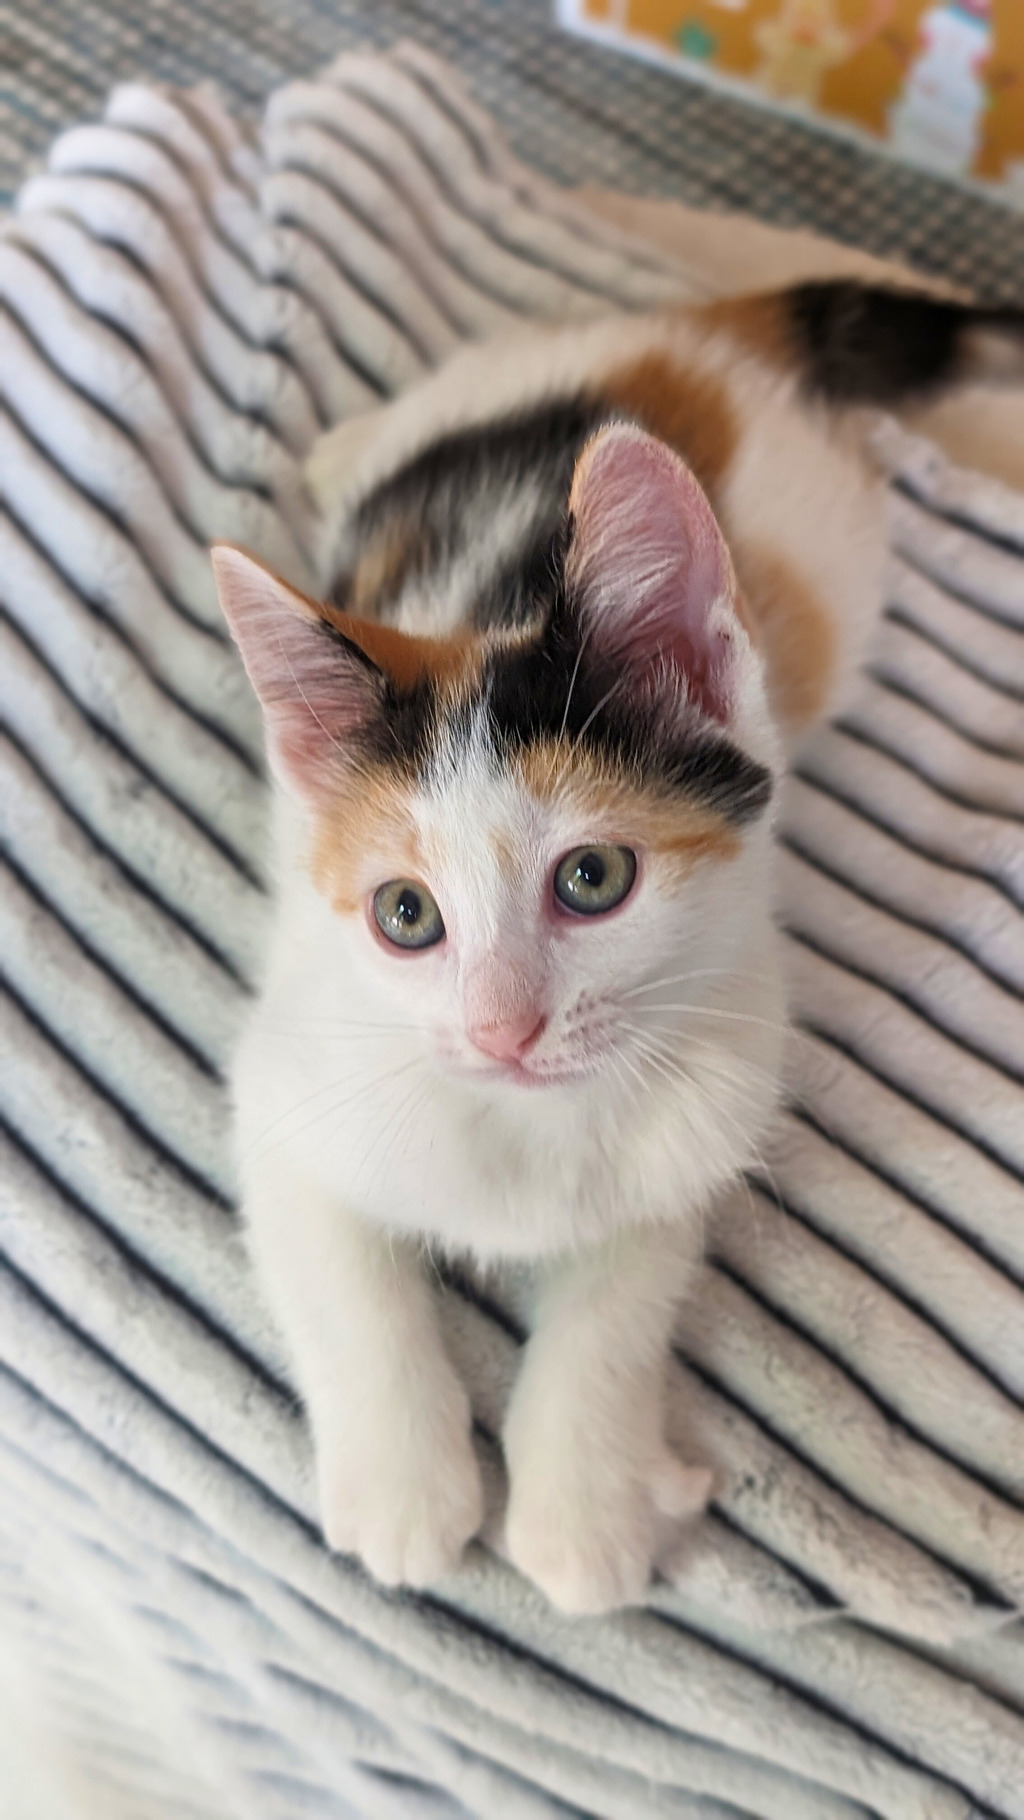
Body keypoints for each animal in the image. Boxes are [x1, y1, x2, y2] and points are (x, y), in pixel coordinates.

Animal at [212, 281, 1024, 1614]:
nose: (503, 1029)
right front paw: (407, 1492)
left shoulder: (701, 1115)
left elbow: (620, 1304)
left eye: (592, 878)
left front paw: (579, 1513)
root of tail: (717, 335)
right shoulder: (293, 1079)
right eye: (404, 914)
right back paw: (337, 448)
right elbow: (344, 1277)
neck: (521, 1122)